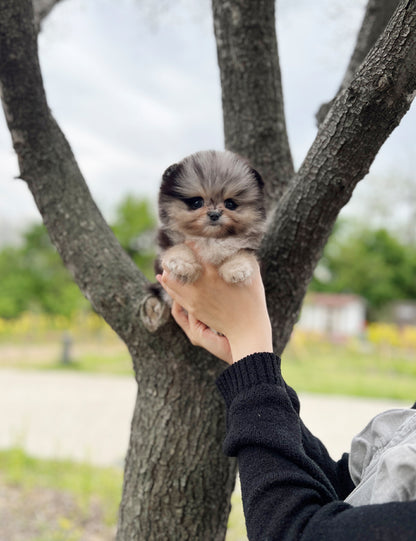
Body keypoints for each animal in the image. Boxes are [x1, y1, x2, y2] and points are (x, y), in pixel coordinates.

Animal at [151, 149, 264, 296]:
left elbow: (241, 252)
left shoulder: (246, 243)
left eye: (230, 204)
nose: (214, 214)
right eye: (197, 202)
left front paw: (237, 268)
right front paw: (183, 264)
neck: (210, 239)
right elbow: (178, 247)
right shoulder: (168, 239)